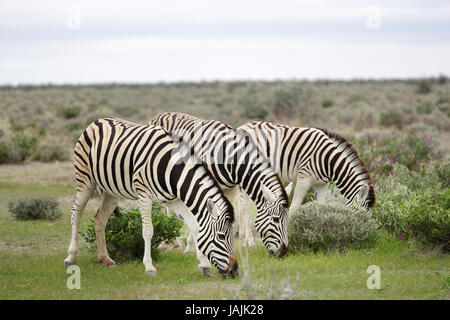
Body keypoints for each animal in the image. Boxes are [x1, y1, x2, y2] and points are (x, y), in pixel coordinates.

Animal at [64, 118, 239, 278]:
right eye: (221, 236)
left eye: (232, 235)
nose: (234, 271)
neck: (172, 169)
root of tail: (96, 121)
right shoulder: (144, 195)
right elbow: (148, 231)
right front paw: (149, 267)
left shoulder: (174, 200)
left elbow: (196, 227)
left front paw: (204, 265)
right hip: (85, 181)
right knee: (76, 213)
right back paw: (71, 257)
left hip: (111, 192)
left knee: (99, 219)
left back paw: (105, 259)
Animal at [148, 112, 288, 258]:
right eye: (276, 219)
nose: (283, 251)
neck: (228, 158)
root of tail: (159, 115)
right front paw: (193, 246)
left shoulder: (230, 189)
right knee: (161, 209)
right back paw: (165, 244)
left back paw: (174, 243)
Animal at [236, 121, 376, 246]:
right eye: (361, 214)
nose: (364, 235)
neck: (328, 160)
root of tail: (241, 127)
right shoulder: (303, 178)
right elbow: (294, 208)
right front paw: (290, 236)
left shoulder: (322, 184)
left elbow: (321, 207)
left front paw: (318, 235)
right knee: (245, 206)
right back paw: (250, 241)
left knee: (241, 204)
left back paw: (243, 239)